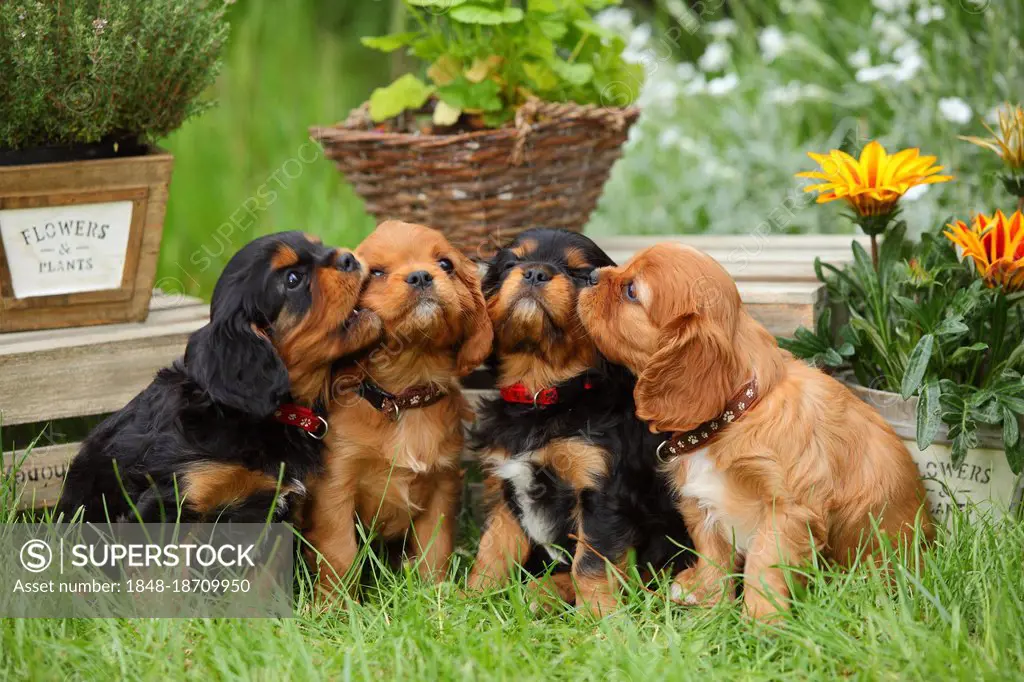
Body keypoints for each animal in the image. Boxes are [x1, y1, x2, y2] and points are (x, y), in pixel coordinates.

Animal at [303, 219, 491, 589]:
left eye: (445, 264)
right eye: (375, 272)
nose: (420, 276)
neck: (405, 396)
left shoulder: (442, 484)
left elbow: (434, 551)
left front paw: (434, 593)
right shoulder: (335, 485)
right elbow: (339, 554)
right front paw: (335, 603)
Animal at [468, 229, 692, 614]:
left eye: (579, 274)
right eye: (512, 263)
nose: (535, 273)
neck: (543, 398)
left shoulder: (599, 489)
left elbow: (590, 562)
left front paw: (599, 617)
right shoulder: (506, 488)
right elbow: (492, 550)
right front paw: (468, 600)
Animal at [577, 242, 937, 614]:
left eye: (631, 291)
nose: (589, 276)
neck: (737, 414)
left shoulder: (787, 510)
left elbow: (762, 568)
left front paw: (761, 620)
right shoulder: (703, 504)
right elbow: (713, 556)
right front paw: (711, 606)